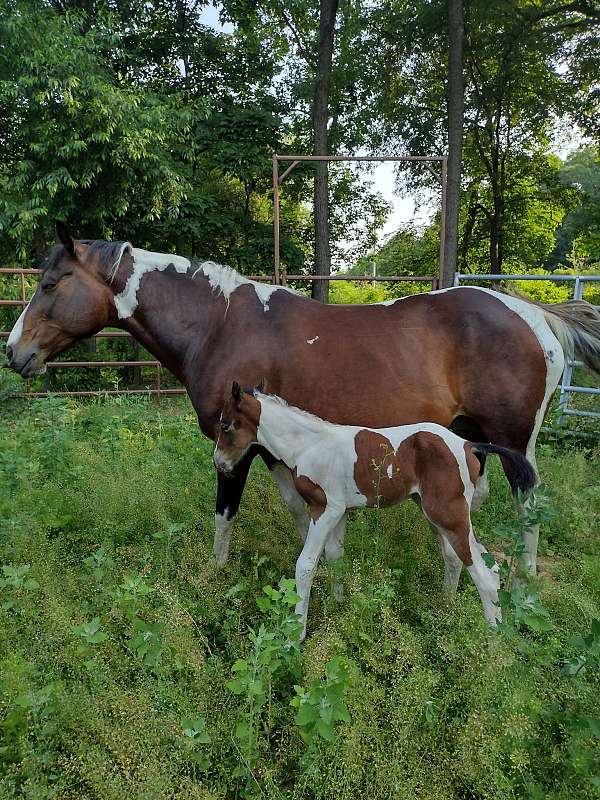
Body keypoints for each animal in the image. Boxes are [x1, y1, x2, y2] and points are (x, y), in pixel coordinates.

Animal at [7, 223, 600, 576]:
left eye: (53, 283)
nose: (14, 352)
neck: (219, 325)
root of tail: (536, 313)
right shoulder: (274, 449)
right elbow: (299, 509)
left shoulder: (235, 447)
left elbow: (225, 515)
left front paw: (217, 579)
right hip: (468, 439)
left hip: (513, 445)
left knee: (529, 507)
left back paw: (521, 580)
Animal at [213, 384, 536, 640]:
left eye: (226, 425)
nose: (219, 463)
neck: (308, 446)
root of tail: (469, 445)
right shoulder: (340, 512)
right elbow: (335, 558)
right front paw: (339, 606)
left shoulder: (325, 508)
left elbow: (305, 565)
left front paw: (296, 634)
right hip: (434, 511)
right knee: (456, 558)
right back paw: (446, 610)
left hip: (450, 513)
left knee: (485, 573)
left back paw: (493, 648)